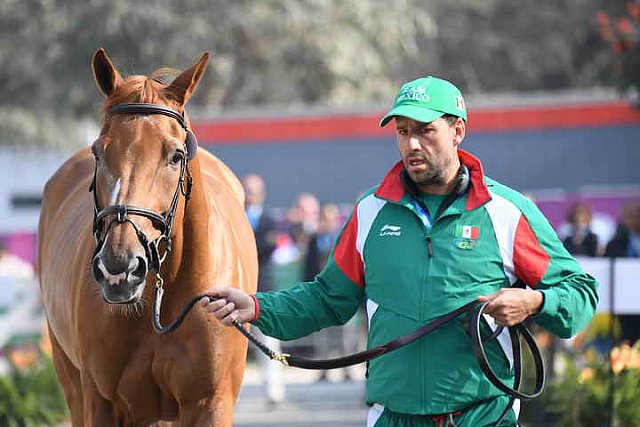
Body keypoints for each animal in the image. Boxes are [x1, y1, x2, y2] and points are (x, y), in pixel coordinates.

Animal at [37, 48, 256, 426]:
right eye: (99, 152)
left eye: (176, 156)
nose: (119, 269)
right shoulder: (102, 404)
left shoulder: (210, 403)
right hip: (73, 382)